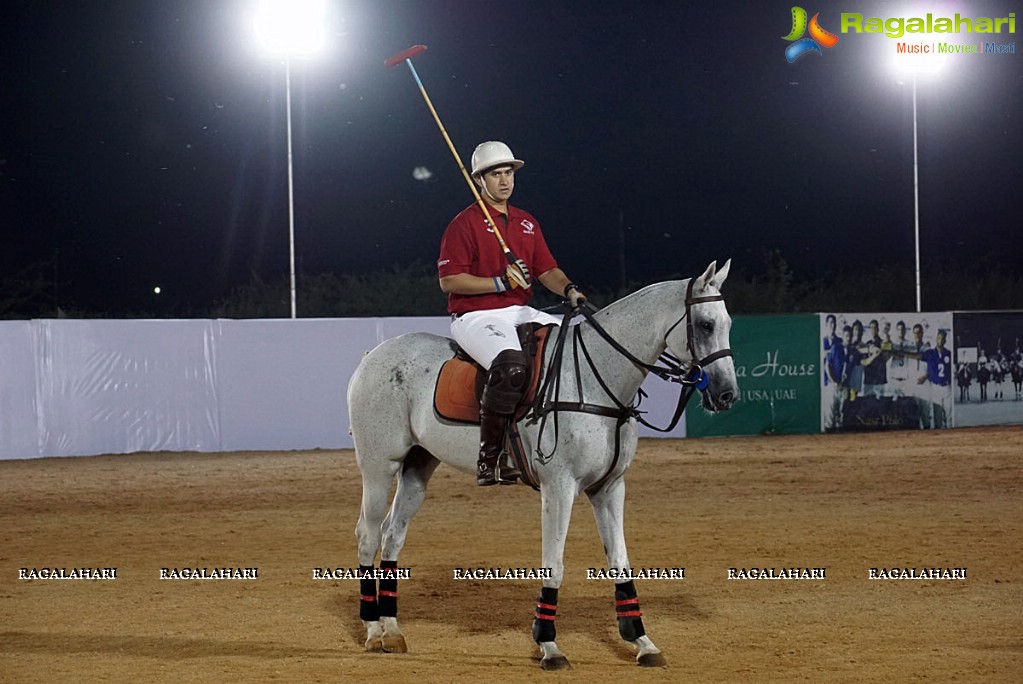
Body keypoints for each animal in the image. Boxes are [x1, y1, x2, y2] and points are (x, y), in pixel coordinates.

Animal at [349, 257, 736, 666]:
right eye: (706, 325)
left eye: (728, 323)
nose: (727, 394)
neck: (599, 380)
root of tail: (373, 355)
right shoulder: (559, 486)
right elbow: (555, 563)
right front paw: (549, 644)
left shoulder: (610, 487)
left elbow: (620, 560)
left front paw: (641, 640)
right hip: (379, 465)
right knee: (368, 534)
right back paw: (372, 629)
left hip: (418, 466)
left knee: (393, 534)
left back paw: (392, 629)